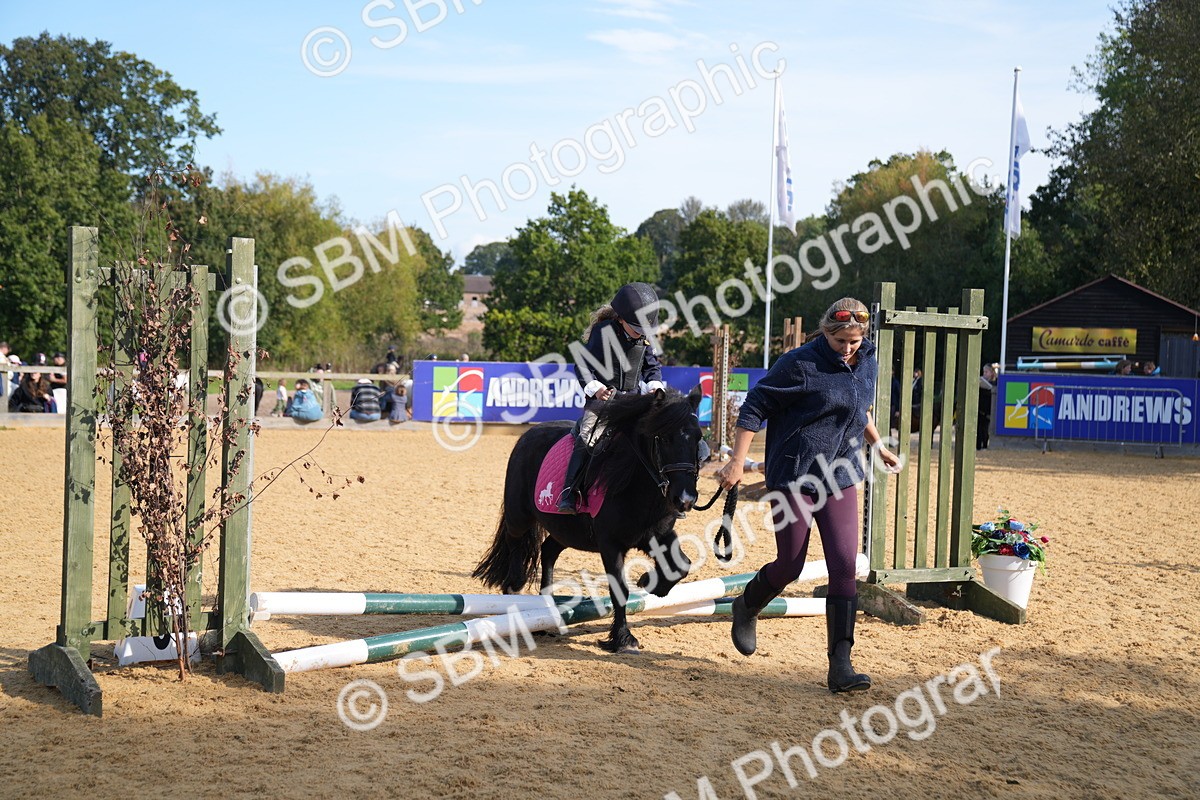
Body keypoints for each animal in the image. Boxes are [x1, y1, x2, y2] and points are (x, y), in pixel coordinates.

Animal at [472, 389, 704, 654]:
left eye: (698, 437)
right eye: (664, 438)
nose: (685, 499)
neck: (633, 482)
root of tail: (528, 435)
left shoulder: (657, 534)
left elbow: (682, 565)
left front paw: (651, 583)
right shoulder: (610, 544)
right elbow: (619, 588)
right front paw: (623, 639)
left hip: (565, 531)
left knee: (548, 550)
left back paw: (546, 609)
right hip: (519, 517)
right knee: (515, 546)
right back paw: (514, 588)